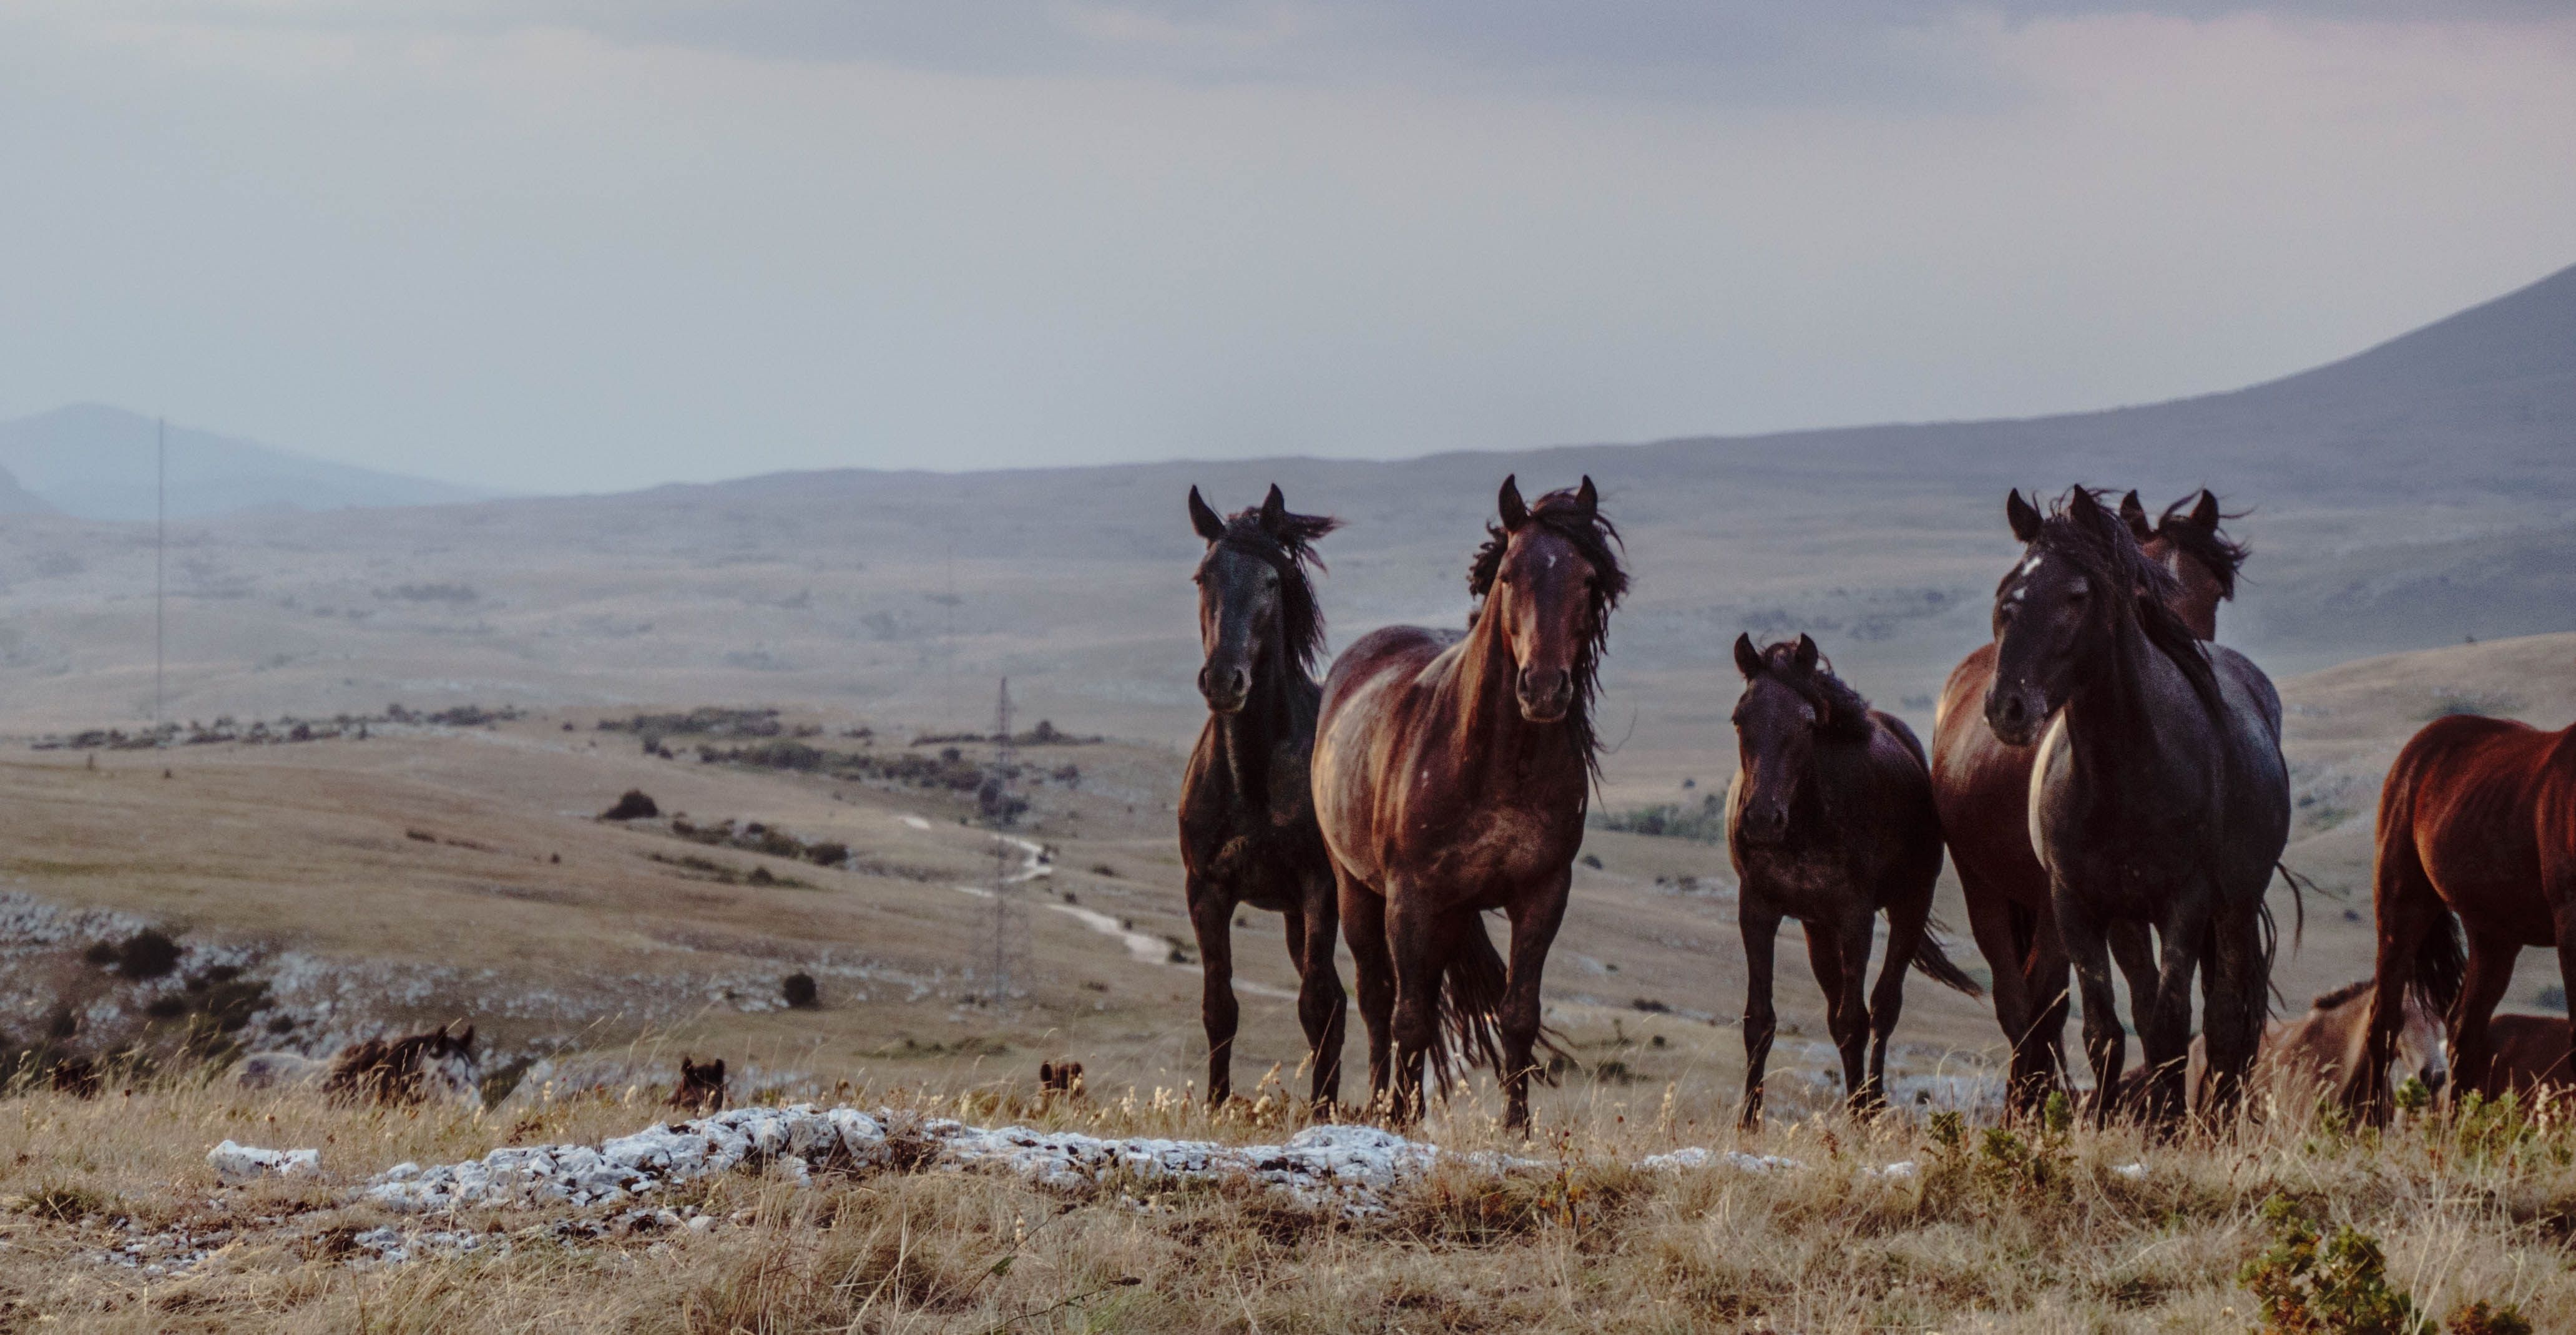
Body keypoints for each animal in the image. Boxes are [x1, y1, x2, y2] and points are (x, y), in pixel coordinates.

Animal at [1178, 484, 1349, 1112]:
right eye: (1202, 577)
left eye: (1272, 581)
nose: (1224, 680)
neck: (1251, 777)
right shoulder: (1207, 889)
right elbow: (1219, 1006)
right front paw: (1215, 1105)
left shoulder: (1319, 887)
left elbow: (1315, 1003)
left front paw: (1323, 1115)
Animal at [1313, 475, 1622, 1129]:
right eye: (1507, 573)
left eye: (1588, 579)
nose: (1544, 688)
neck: (1495, 765)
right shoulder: (1410, 895)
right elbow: (1406, 1015)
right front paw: (1400, 1118)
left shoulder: (1542, 893)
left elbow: (1518, 1011)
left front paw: (1516, 1125)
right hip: (1357, 889)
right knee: (1378, 996)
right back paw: (1380, 1101)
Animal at [1727, 634, 1982, 1125]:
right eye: (1739, 717)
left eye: (1807, 723)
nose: (1763, 820)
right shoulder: (1758, 910)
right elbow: (1759, 1019)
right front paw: (1747, 1122)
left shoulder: (1855, 917)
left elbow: (1854, 1021)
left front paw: (1861, 1118)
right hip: (1817, 928)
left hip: (1908, 907)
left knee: (1883, 1009)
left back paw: (1874, 1105)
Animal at [2342, 710, 2576, 1117]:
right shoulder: (2570, 923)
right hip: (2401, 910)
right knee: (2384, 1023)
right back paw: (2374, 1125)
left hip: (2493, 936)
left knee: (2464, 1030)